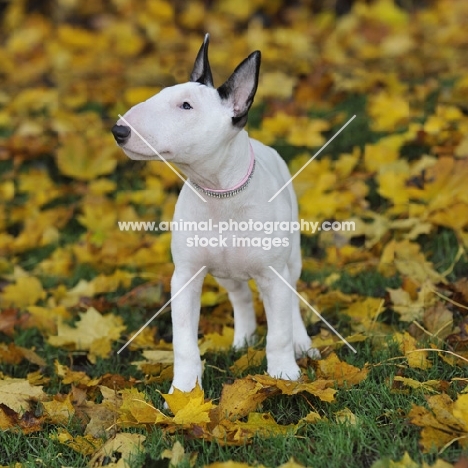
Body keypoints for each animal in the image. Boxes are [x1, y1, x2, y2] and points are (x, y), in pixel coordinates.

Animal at [111, 33, 320, 394]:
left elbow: (278, 332)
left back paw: (301, 343)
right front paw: (184, 389)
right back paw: (244, 338)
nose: (118, 131)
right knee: (241, 297)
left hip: (291, 258)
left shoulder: (273, 275)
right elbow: (183, 341)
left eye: (186, 106)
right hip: (225, 274)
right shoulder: (184, 278)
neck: (220, 194)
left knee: (292, 299)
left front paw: (283, 375)